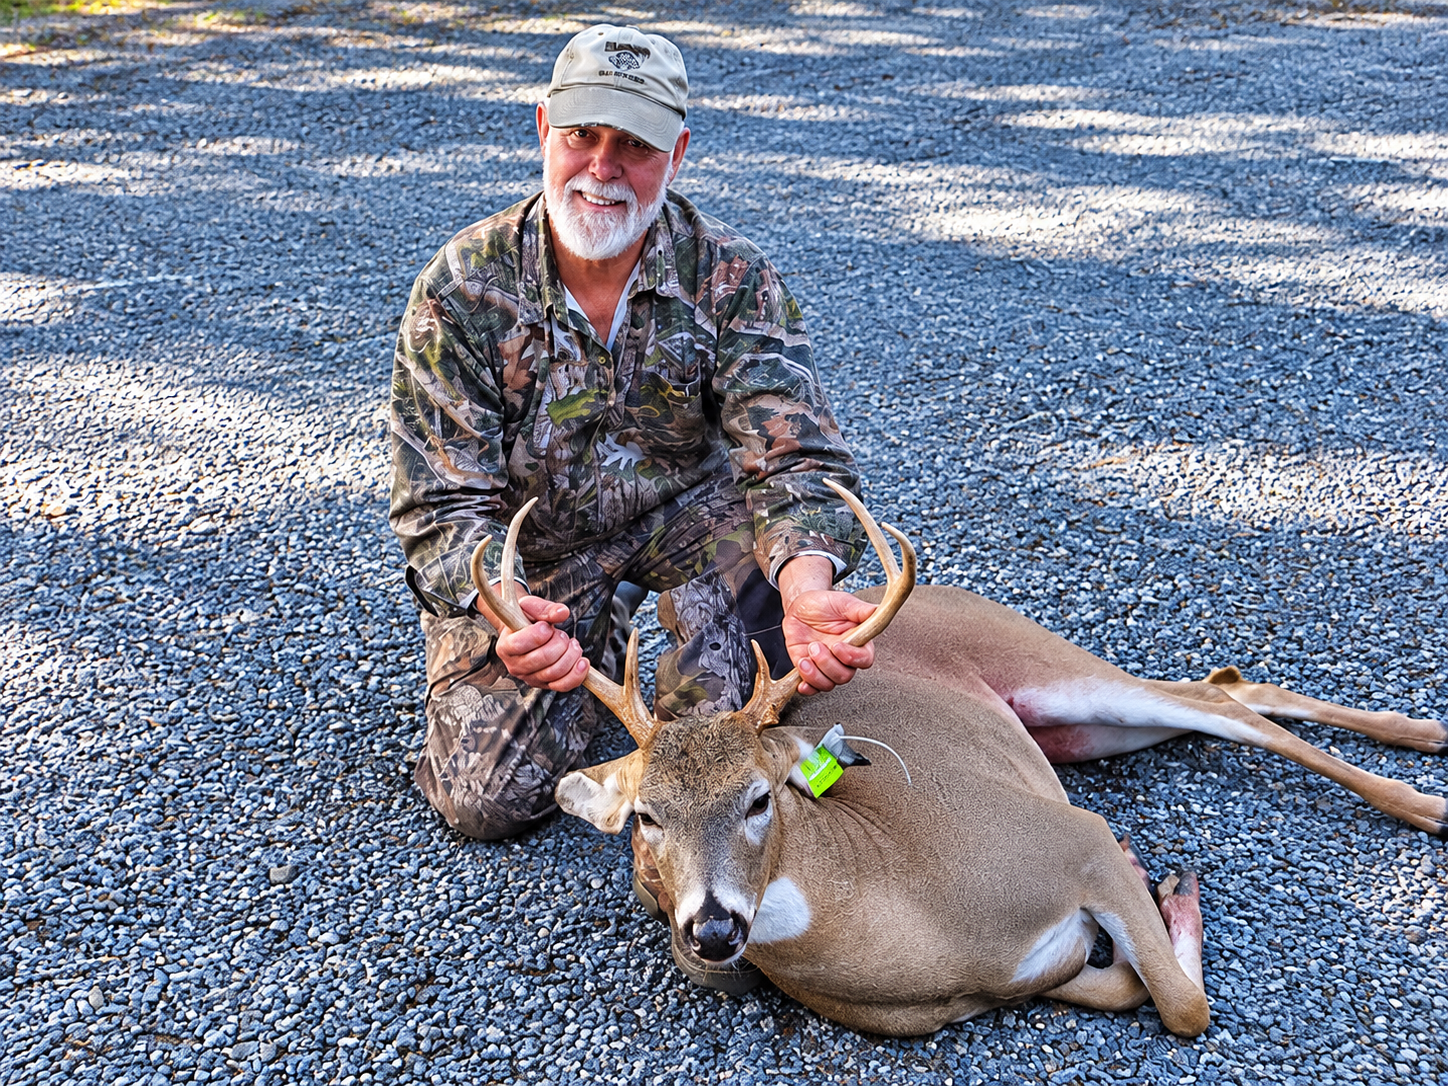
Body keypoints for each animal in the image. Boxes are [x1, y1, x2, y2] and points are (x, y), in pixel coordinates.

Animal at [470, 483, 1446, 1038]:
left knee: (1223, 704)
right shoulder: (1030, 971)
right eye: (644, 818)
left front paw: (1175, 892)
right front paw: (1165, 895)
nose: (712, 930)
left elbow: (1184, 1007)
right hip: (1068, 728)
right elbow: (1137, 992)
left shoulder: (1076, 837)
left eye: (760, 799)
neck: (927, 924)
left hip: (1049, 669)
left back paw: (1423, 786)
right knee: (1230, 685)